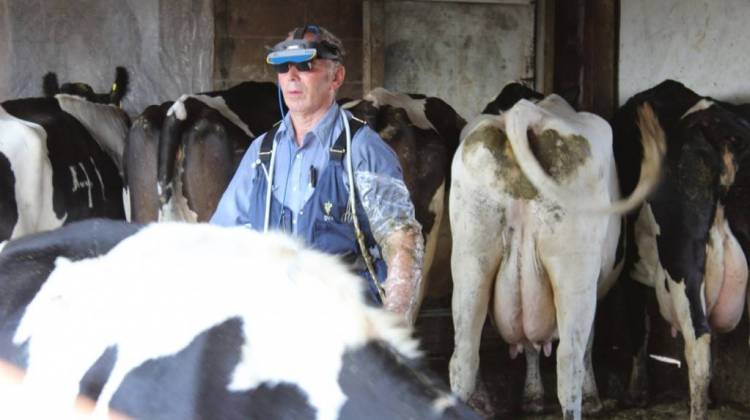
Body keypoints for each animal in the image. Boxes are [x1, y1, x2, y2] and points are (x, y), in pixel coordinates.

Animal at [446, 86, 664, 420]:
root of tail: (527, 111)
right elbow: (586, 343)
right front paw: (592, 398)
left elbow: (531, 341)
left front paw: (533, 397)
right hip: (573, 274)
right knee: (569, 363)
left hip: (471, 262)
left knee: (463, 360)